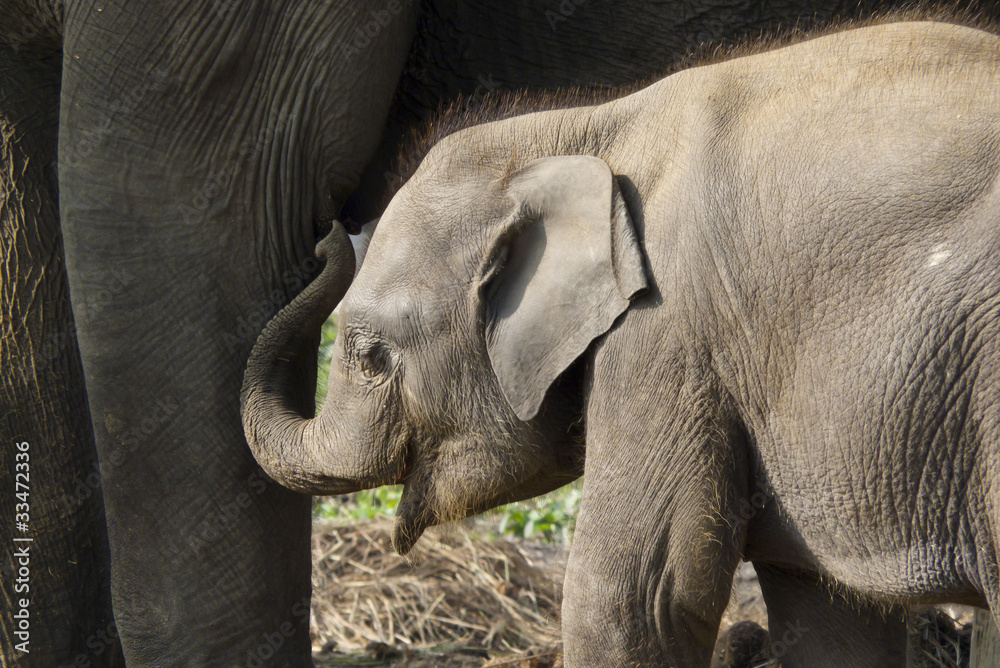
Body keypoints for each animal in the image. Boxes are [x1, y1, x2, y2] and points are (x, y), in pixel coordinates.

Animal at [3, 0, 997, 665]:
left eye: (367, 355)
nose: (325, 235)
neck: (592, 125)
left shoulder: (668, 340)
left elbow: (638, 593)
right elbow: (830, 613)